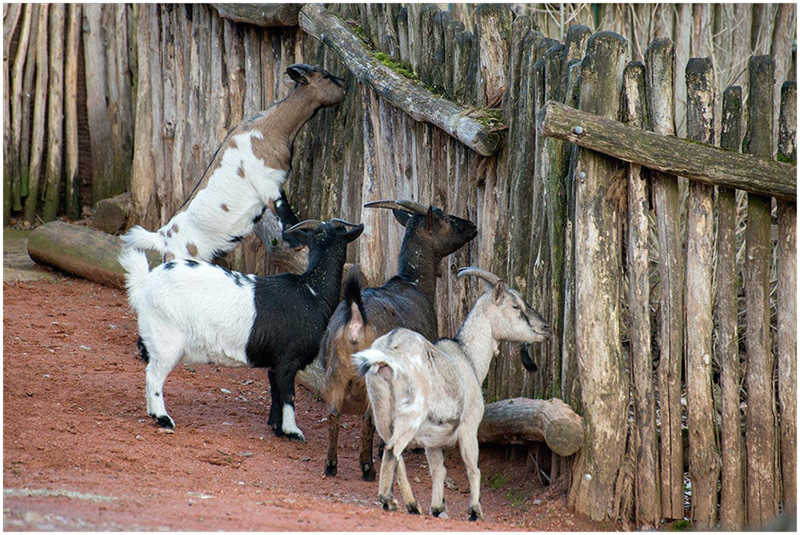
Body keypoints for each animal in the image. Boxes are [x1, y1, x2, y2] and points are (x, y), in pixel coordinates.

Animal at [118, 217, 362, 440]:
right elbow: (288, 395)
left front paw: (277, 427)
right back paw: (163, 418)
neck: (311, 291)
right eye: (341, 230)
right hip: (167, 340)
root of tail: (144, 283)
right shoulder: (288, 360)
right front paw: (293, 431)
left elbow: (276, 391)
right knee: (154, 376)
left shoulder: (275, 363)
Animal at [122, 65, 344, 264]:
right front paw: (296, 242)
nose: (344, 87)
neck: (268, 130)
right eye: (325, 75)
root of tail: (163, 236)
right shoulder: (269, 185)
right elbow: (285, 214)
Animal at [318, 200, 476, 482]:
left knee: (334, 413)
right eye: (446, 219)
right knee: (369, 418)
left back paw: (331, 464)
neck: (415, 285)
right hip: (371, 375)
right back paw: (367, 467)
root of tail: (355, 319)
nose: (472, 225)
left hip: (335, 371)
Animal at [352, 270, 552, 520]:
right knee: (392, 451)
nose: (546, 328)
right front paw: (475, 511)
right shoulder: (469, 426)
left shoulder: (432, 440)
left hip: (382, 412)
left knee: (395, 454)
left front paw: (438, 508)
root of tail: (387, 351)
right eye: (516, 305)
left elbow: (438, 469)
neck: (468, 357)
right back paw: (392, 501)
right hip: (411, 412)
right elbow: (473, 467)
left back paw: (410, 503)